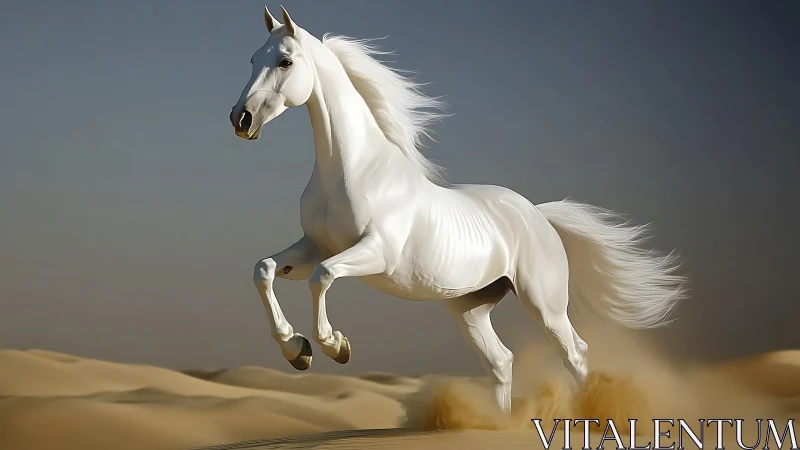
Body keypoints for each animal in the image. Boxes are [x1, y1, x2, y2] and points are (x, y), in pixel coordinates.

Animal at [228, 6, 687, 413]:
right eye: (252, 59)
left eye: (285, 61)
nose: (241, 119)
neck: (355, 168)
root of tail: (538, 215)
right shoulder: (313, 247)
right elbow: (264, 270)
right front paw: (296, 349)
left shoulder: (373, 252)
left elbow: (321, 279)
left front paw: (334, 346)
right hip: (469, 307)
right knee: (501, 362)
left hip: (544, 303)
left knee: (575, 353)